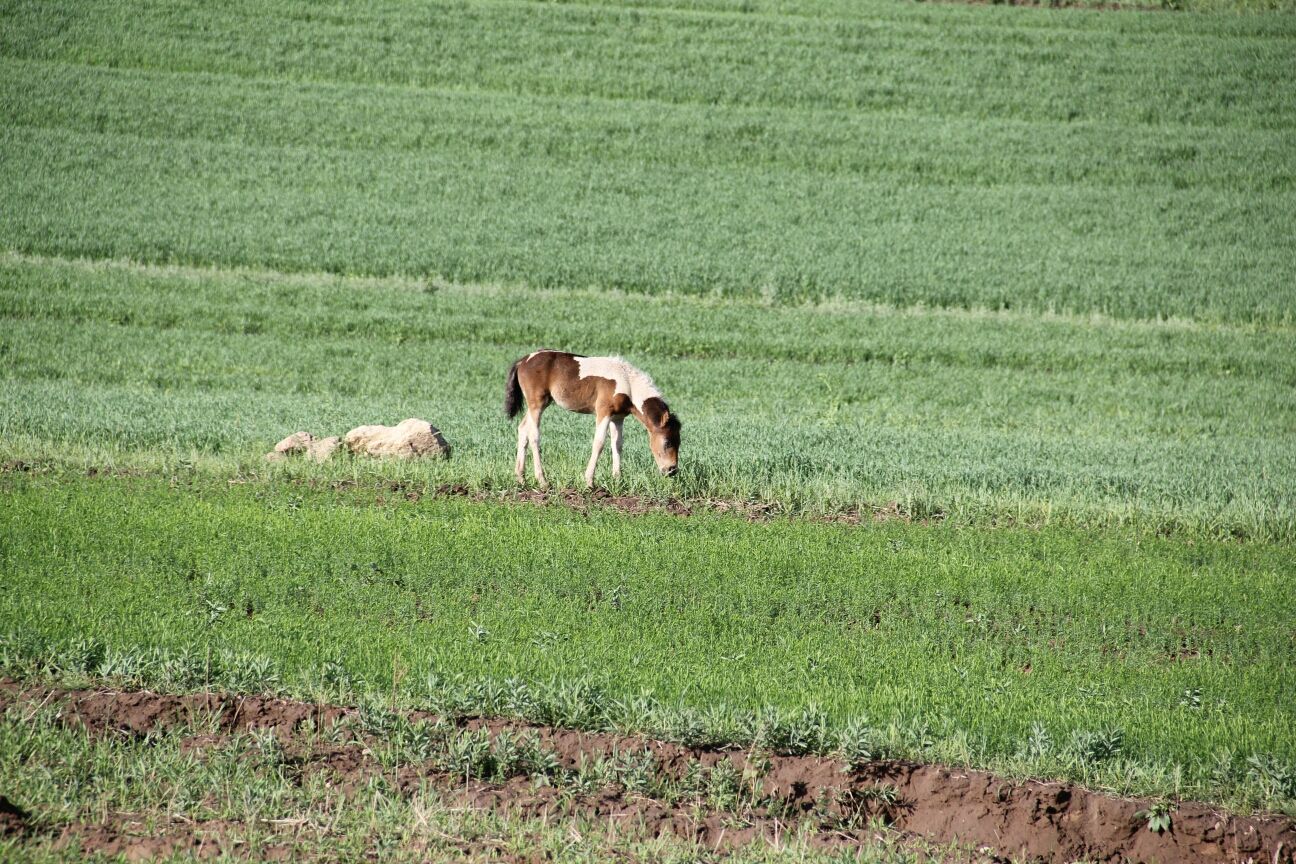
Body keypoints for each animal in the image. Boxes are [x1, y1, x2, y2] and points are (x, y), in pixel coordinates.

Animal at [502, 349, 684, 487]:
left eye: (679, 441)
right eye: (667, 442)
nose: (671, 470)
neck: (627, 383)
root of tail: (523, 361)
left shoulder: (617, 417)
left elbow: (617, 444)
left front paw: (617, 479)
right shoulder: (603, 412)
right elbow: (599, 443)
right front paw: (589, 481)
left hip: (541, 404)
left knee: (522, 429)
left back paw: (520, 478)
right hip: (537, 404)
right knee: (534, 435)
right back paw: (542, 481)